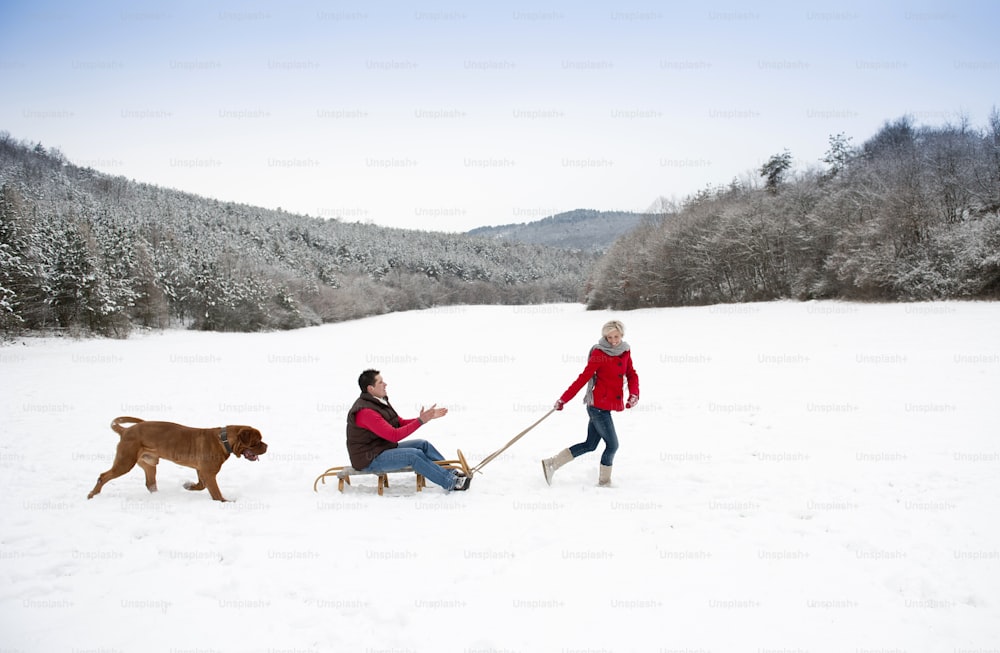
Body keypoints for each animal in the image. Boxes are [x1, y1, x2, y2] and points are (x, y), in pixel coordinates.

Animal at [87, 416, 266, 502]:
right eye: (256, 442)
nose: (267, 446)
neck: (224, 440)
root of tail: (125, 431)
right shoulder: (209, 473)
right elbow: (215, 493)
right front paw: (224, 502)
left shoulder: (201, 471)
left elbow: (201, 485)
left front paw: (188, 486)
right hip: (125, 462)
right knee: (103, 476)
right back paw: (92, 495)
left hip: (149, 463)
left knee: (150, 484)